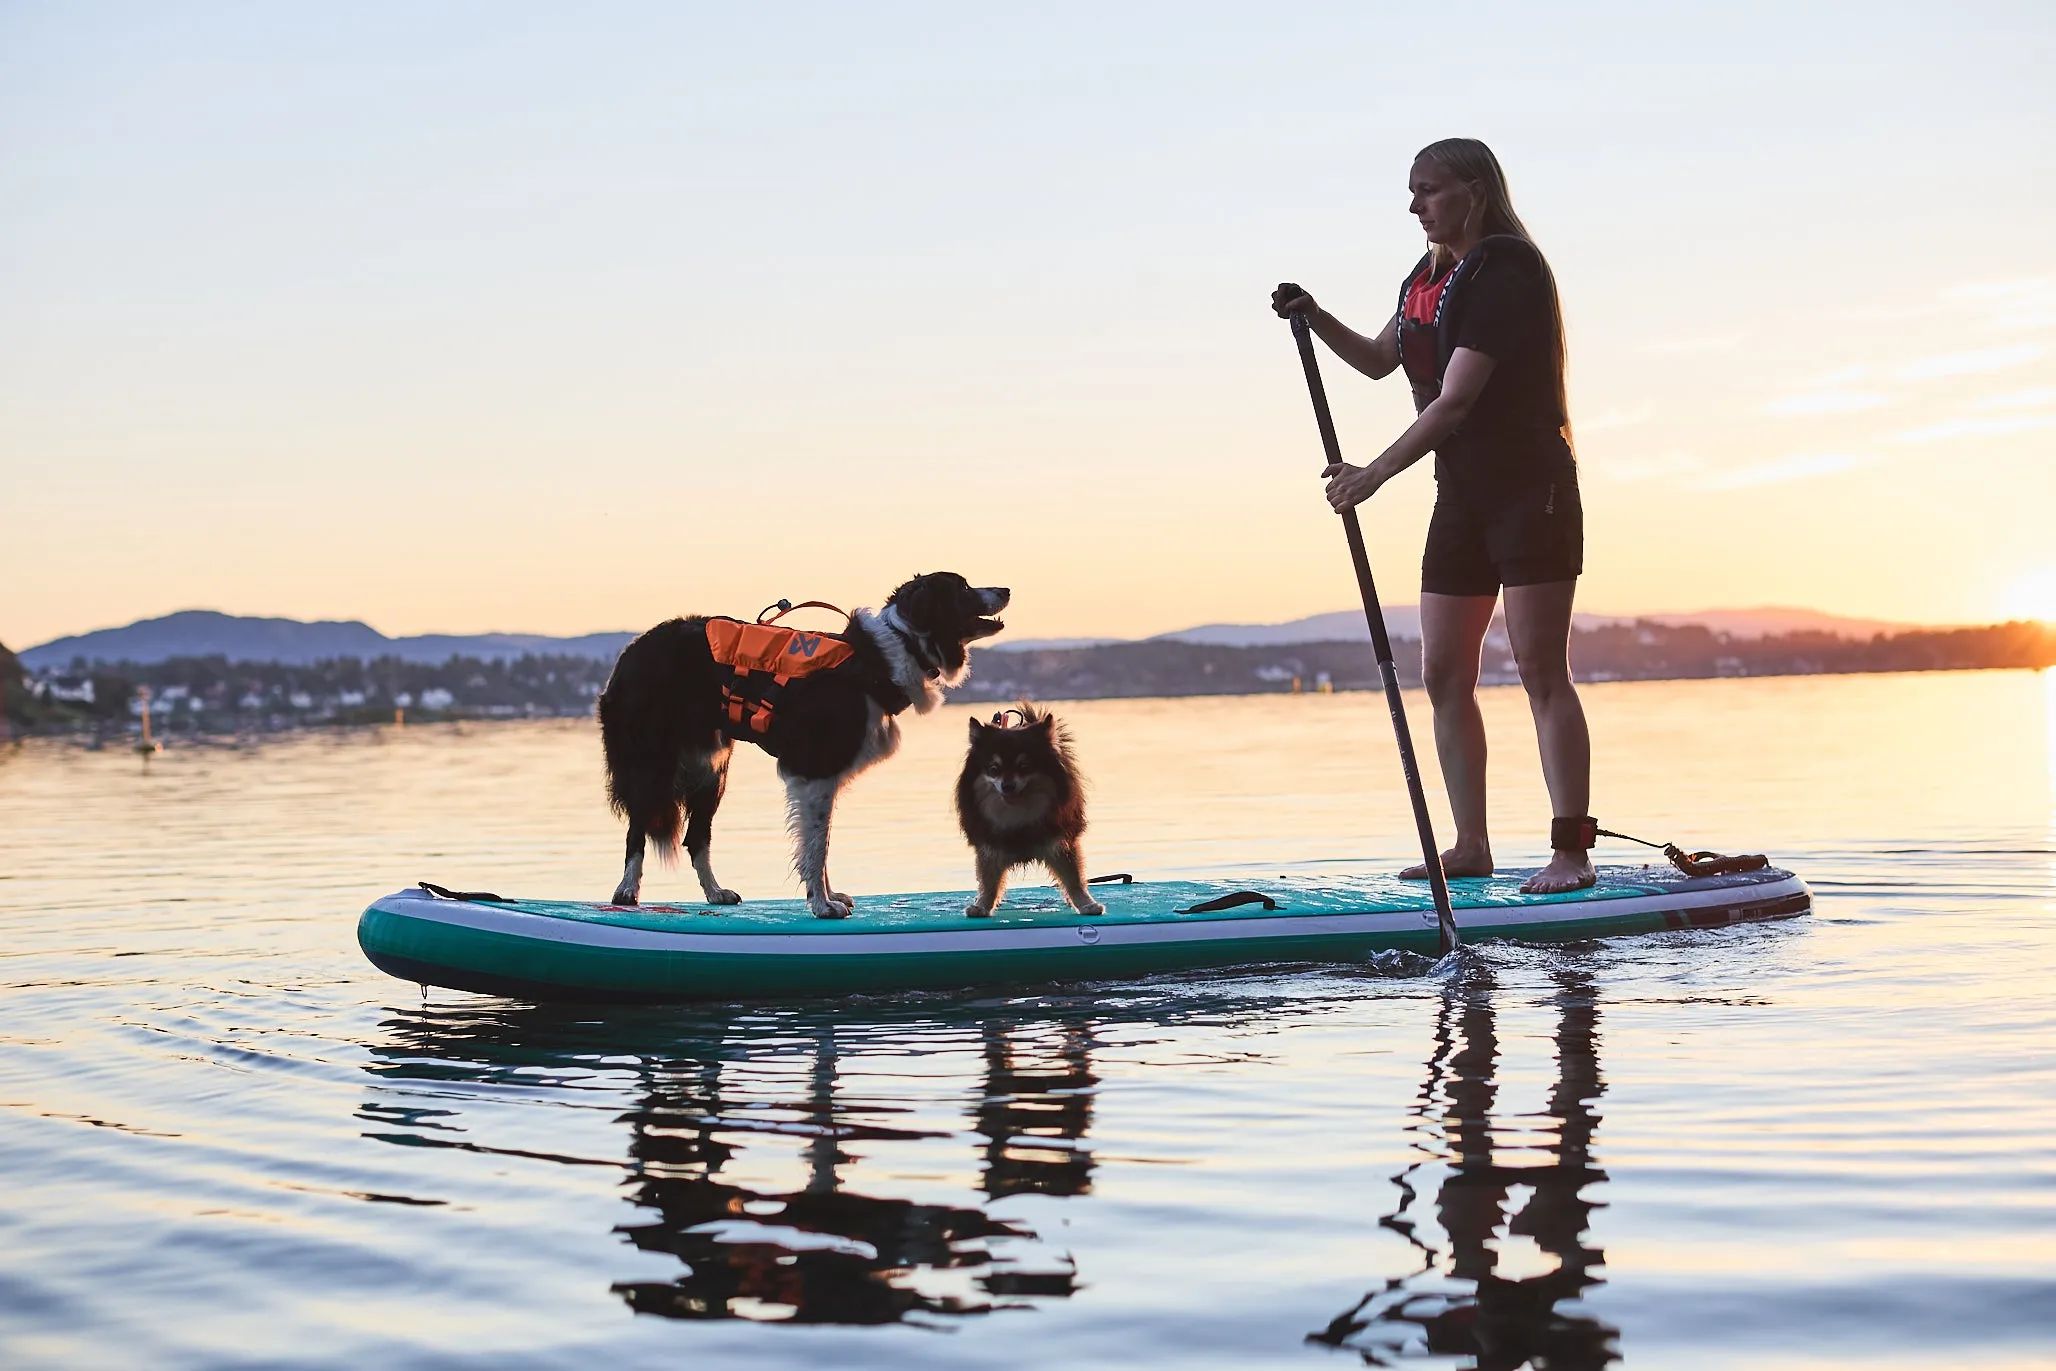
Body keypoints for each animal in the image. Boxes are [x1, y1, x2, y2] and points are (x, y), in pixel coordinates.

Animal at [596, 575, 1011, 916]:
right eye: (962, 588)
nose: (1006, 589)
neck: (881, 658)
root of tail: (630, 651)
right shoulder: (815, 769)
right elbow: (816, 847)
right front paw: (822, 905)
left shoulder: (822, 779)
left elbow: (820, 842)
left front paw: (828, 897)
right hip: (653, 762)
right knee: (639, 828)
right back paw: (626, 891)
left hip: (710, 769)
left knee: (696, 837)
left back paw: (715, 892)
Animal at [949, 707, 1102, 920]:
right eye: (993, 769)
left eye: (1024, 767)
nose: (1007, 786)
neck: (1018, 816)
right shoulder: (990, 845)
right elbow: (989, 882)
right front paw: (982, 906)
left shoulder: (1060, 842)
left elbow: (1074, 879)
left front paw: (1087, 904)